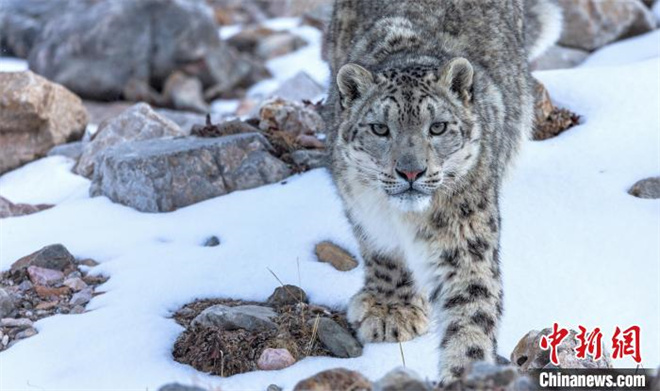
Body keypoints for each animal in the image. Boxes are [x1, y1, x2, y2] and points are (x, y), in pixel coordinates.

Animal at [324, 0, 564, 384]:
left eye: (437, 127)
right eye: (379, 128)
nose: (410, 171)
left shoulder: (466, 236)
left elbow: (472, 306)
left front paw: (466, 371)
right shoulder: (363, 210)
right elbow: (384, 256)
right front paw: (391, 310)